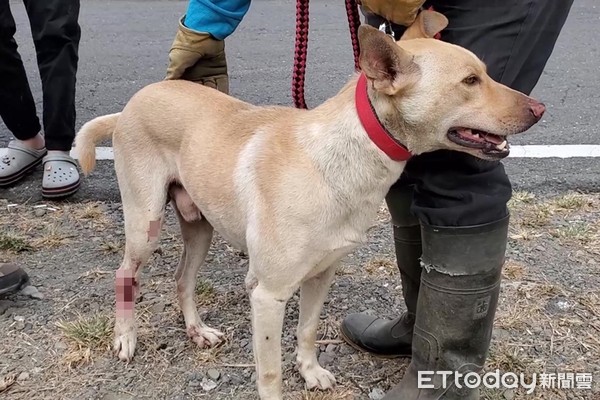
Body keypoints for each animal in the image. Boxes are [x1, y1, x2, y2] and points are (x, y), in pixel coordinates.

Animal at [74, 11, 544, 400]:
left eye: (485, 73)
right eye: (469, 81)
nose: (540, 108)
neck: (334, 160)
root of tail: (133, 103)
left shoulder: (321, 274)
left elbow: (308, 330)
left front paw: (311, 371)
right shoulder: (267, 294)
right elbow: (269, 373)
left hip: (200, 227)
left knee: (182, 280)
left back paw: (197, 330)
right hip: (145, 225)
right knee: (125, 274)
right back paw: (126, 337)